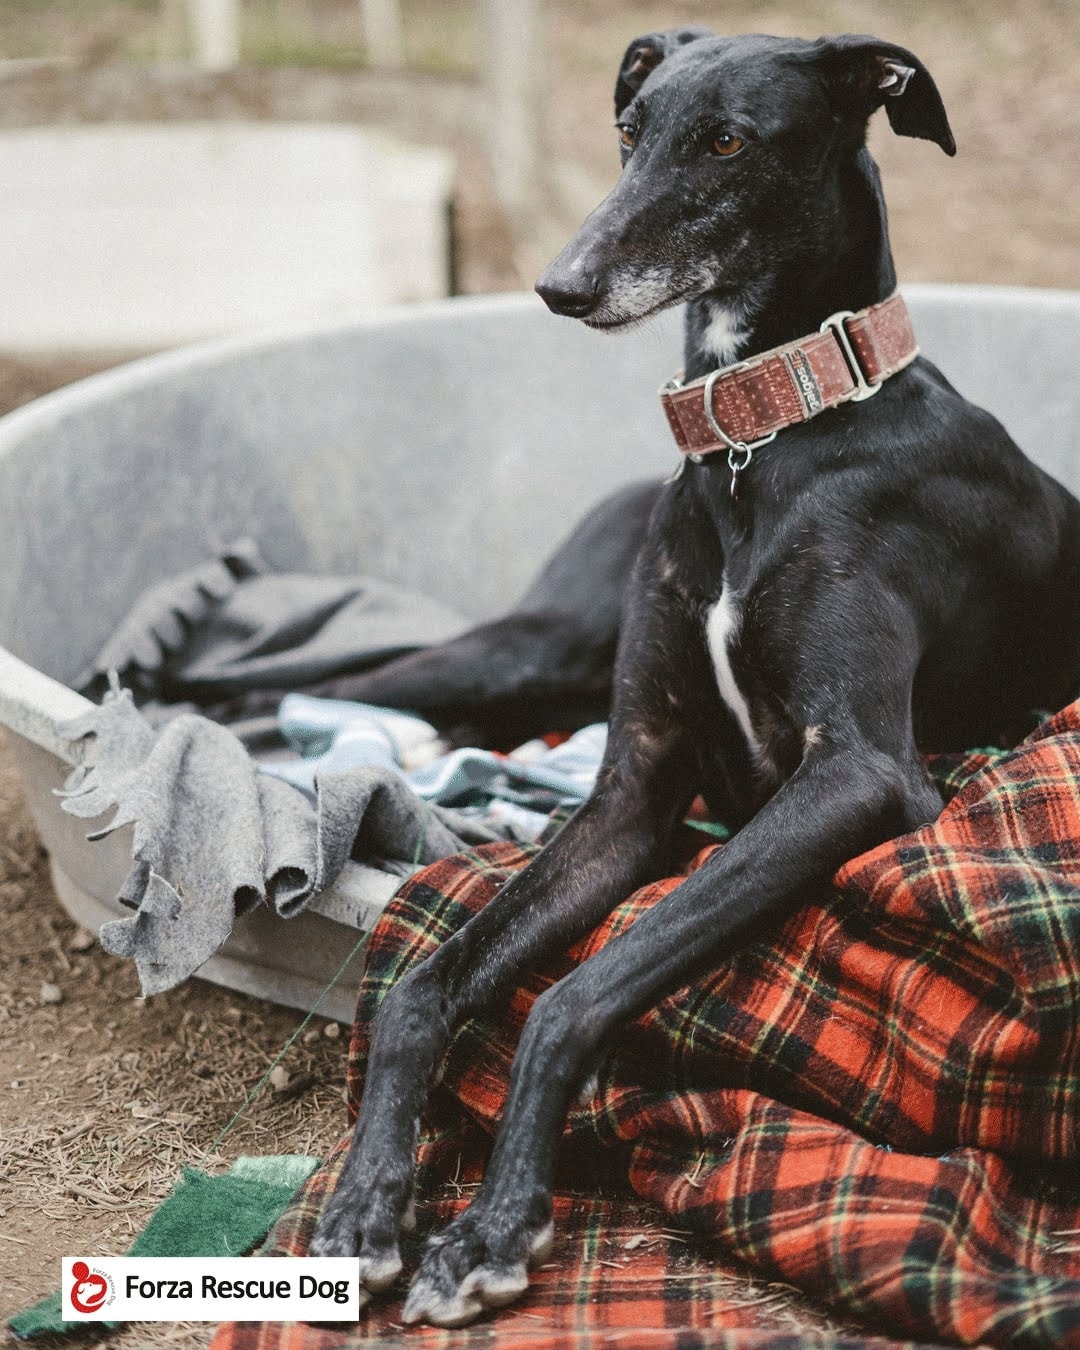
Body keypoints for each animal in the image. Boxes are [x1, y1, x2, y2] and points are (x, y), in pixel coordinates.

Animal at [310, 29, 1080, 1326]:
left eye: (727, 141)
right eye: (631, 131)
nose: (561, 287)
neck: (760, 435)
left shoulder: (861, 777)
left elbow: (576, 990)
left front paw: (493, 1228)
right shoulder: (633, 793)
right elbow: (422, 986)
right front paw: (369, 1201)